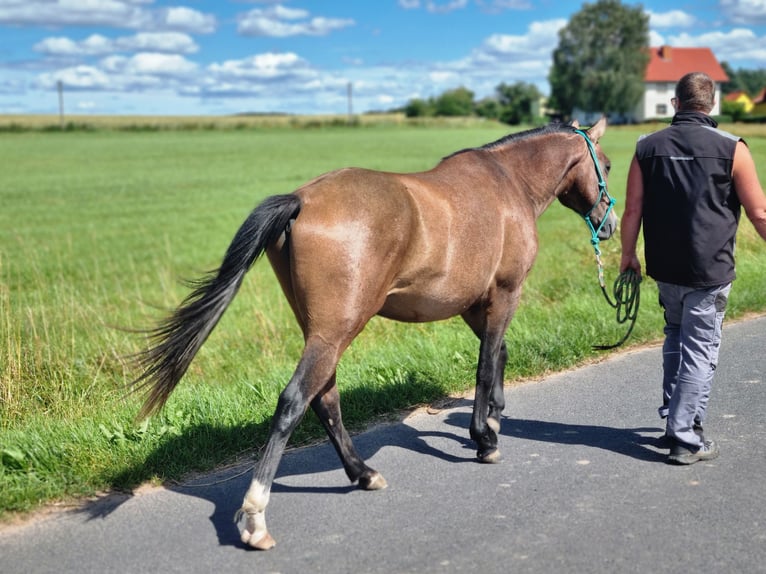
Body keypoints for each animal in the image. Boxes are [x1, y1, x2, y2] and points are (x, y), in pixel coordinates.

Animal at [135, 116, 620, 548]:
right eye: (609, 165)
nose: (611, 225)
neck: (508, 181)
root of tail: (301, 200)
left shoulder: (473, 303)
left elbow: (497, 354)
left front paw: (494, 421)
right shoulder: (504, 293)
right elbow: (486, 365)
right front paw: (485, 438)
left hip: (322, 332)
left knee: (325, 399)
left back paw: (363, 473)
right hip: (336, 330)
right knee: (295, 400)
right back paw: (255, 516)